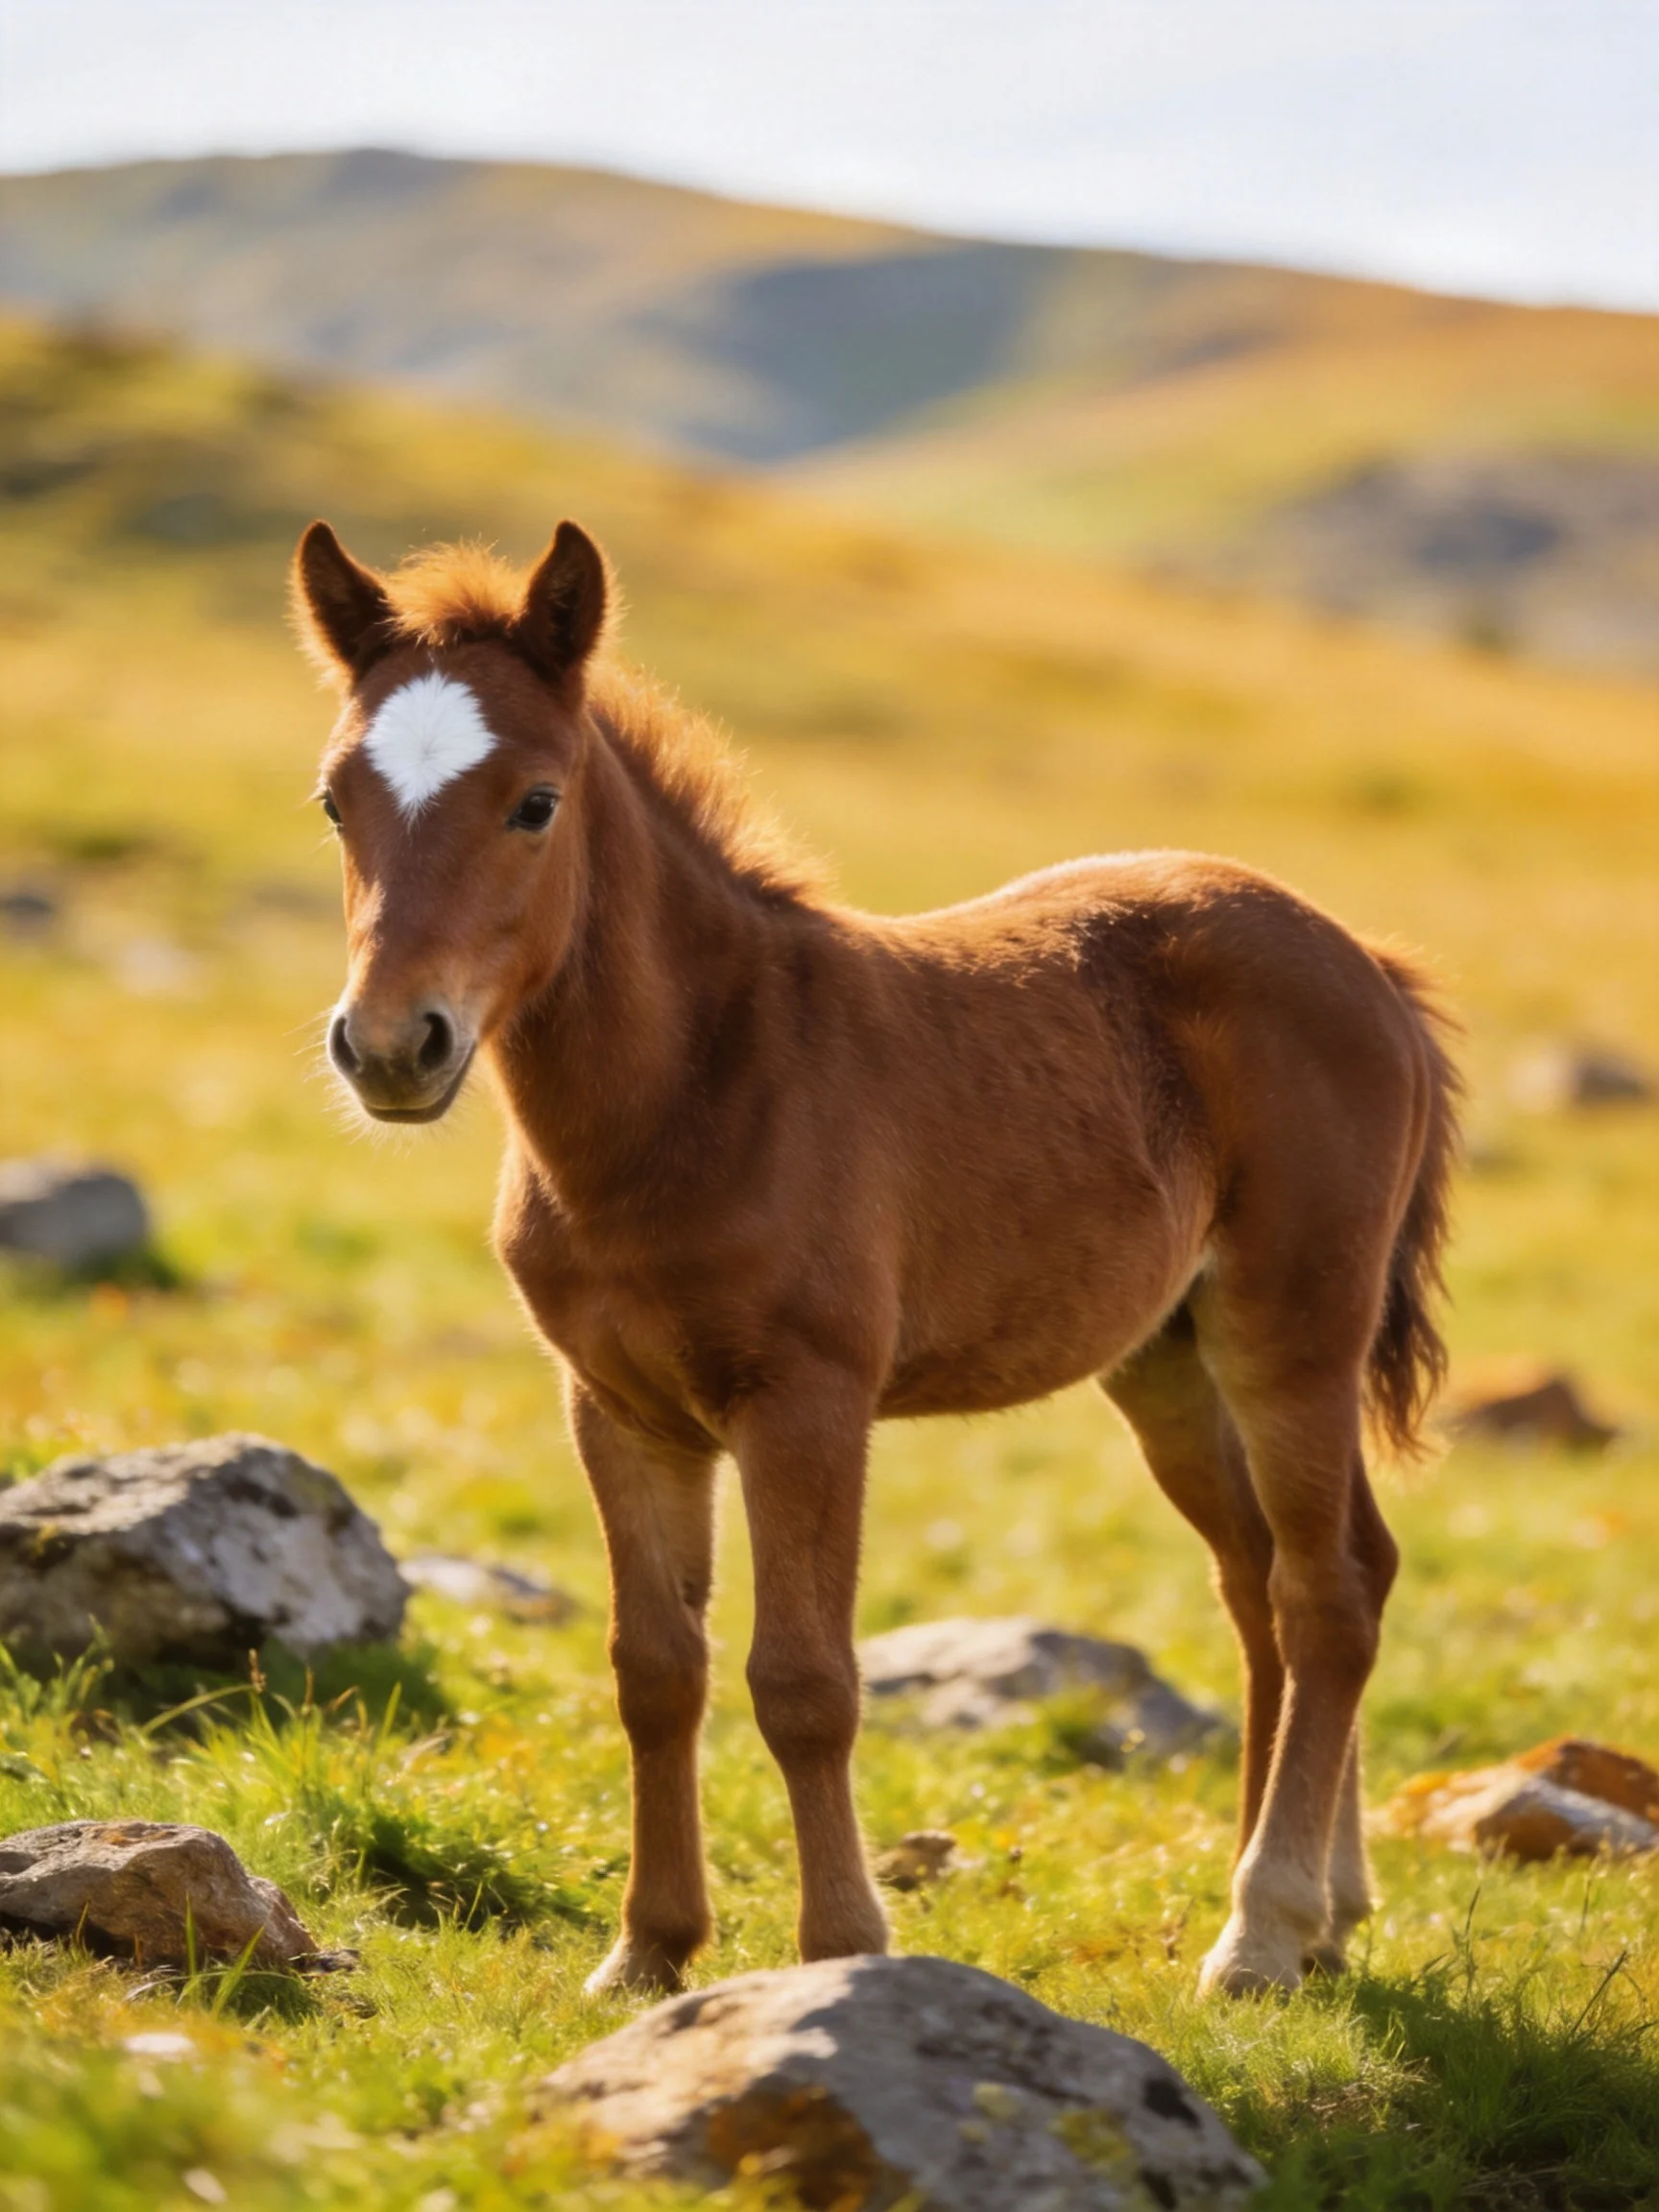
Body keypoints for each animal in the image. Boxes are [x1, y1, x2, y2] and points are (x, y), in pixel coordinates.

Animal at [291, 516, 1458, 1998]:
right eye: (337, 801)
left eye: (535, 802)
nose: (392, 1046)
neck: (695, 1089)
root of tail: (1363, 960)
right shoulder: (618, 1409)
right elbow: (652, 1668)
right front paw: (648, 1952)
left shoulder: (809, 1401)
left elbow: (803, 1682)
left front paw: (841, 1948)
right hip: (1168, 1359)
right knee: (1272, 1579)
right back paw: (1325, 1912)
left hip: (1293, 1327)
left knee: (1327, 1593)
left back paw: (1263, 1928)